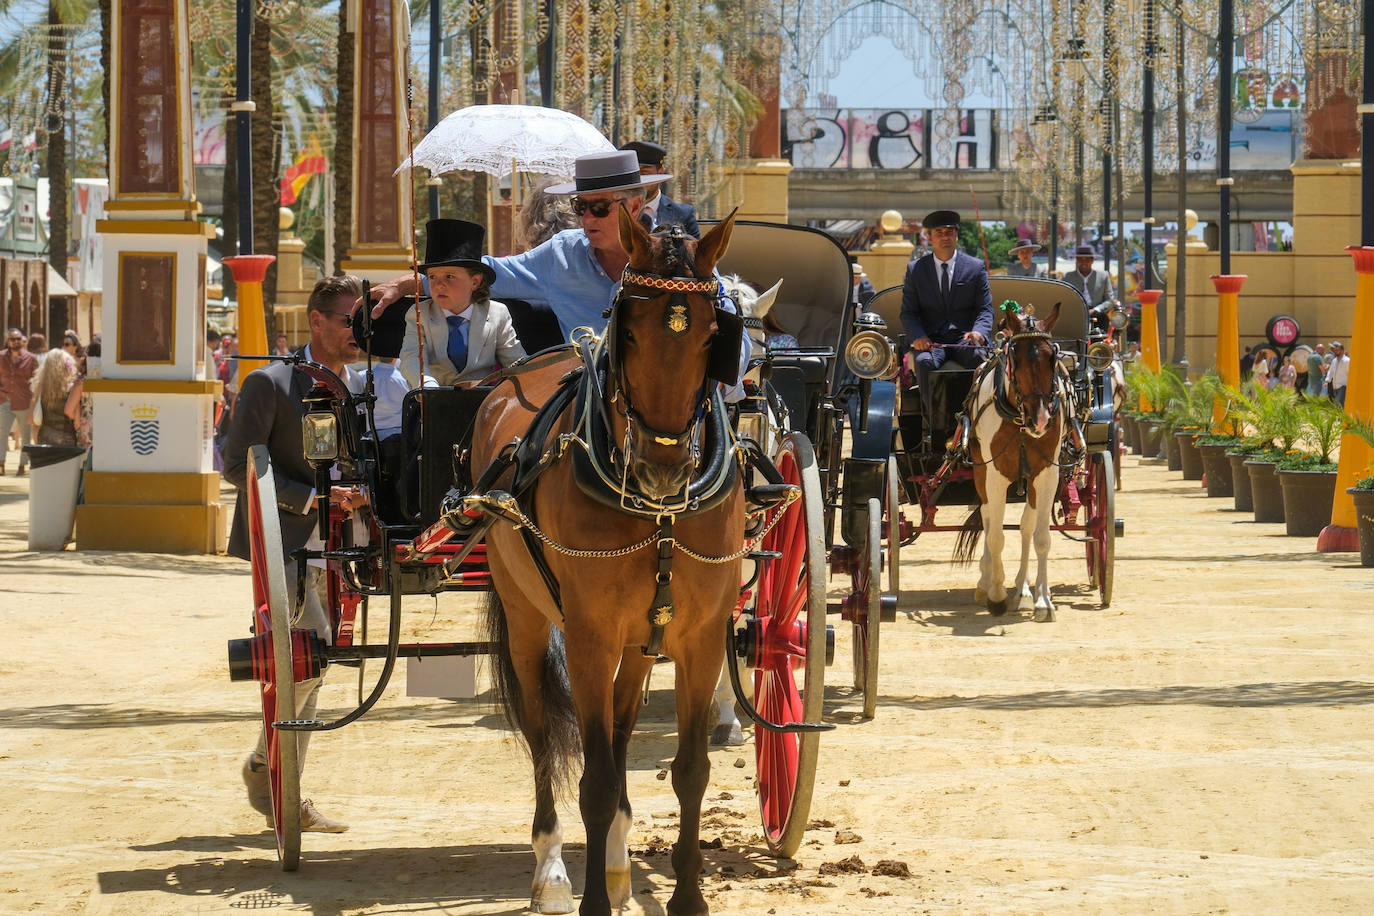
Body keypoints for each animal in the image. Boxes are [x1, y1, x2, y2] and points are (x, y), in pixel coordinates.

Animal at [475, 210, 752, 916]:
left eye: (713, 334)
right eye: (626, 331)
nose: (661, 469)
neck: (657, 509)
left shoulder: (699, 635)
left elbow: (690, 769)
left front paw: (687, 896)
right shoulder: (590, 637)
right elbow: (594, 776)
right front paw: (592, 899)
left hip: (640, 641)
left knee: (622, 735)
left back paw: (620, 860)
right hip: (526, 619)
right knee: (544, 734)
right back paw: (551, 867)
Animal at [956, 306, 1060, 623]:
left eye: (1053, 357)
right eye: (1017, 358)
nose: (1041, 420)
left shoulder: (1046, 475)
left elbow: (1041, 537)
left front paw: (1042, 600)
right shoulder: (995, 475)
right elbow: (996, 536)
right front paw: (997, 595)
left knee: (1026, 526)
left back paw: (1024, 591)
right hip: (981, 471)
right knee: (989, 519)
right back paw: (988, 582)